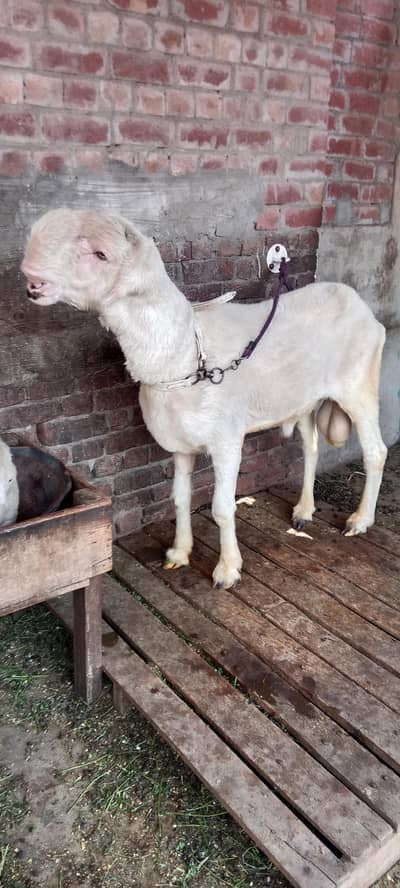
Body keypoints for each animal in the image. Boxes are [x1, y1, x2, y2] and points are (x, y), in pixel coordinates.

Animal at [21, 208, 387, 589]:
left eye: (100, 254)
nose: (31, 277)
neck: (186, 353)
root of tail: (355, 301)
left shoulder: (226, 441)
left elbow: (222, 508)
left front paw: (227, 569)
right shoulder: (180, 444)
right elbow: (180, 500)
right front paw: (180, 553)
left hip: (359, 389)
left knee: (375, 452)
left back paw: (360, 520)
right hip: (303, 400)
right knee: (312, 449)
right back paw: (303, 511)